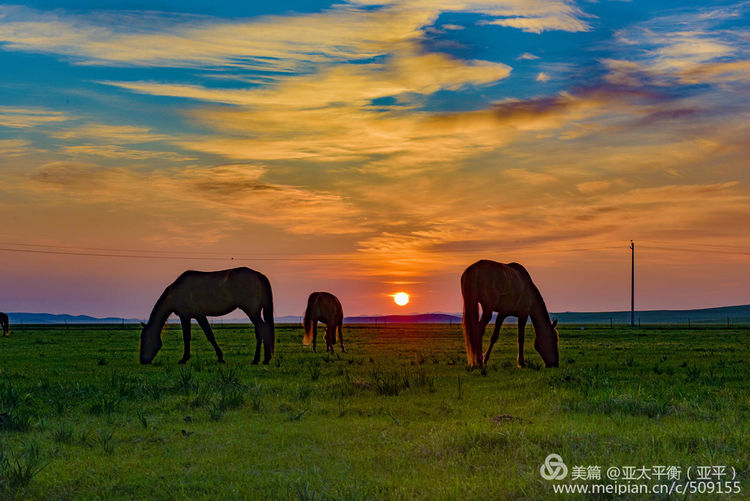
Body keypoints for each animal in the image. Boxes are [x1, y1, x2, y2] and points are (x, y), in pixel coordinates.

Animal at [140, 268, 274, 366]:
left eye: (145, 339)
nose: (142, 361)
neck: (176, 292)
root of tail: (259, 275)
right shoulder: (200, 316)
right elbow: (210, 335)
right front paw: (220, 358)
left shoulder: (185, 316)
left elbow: (187, 337)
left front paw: (184, 359)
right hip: (255, 312)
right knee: (261, 330)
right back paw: (262, 359)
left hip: (251, 311)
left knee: (262, 329)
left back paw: (260, 359)